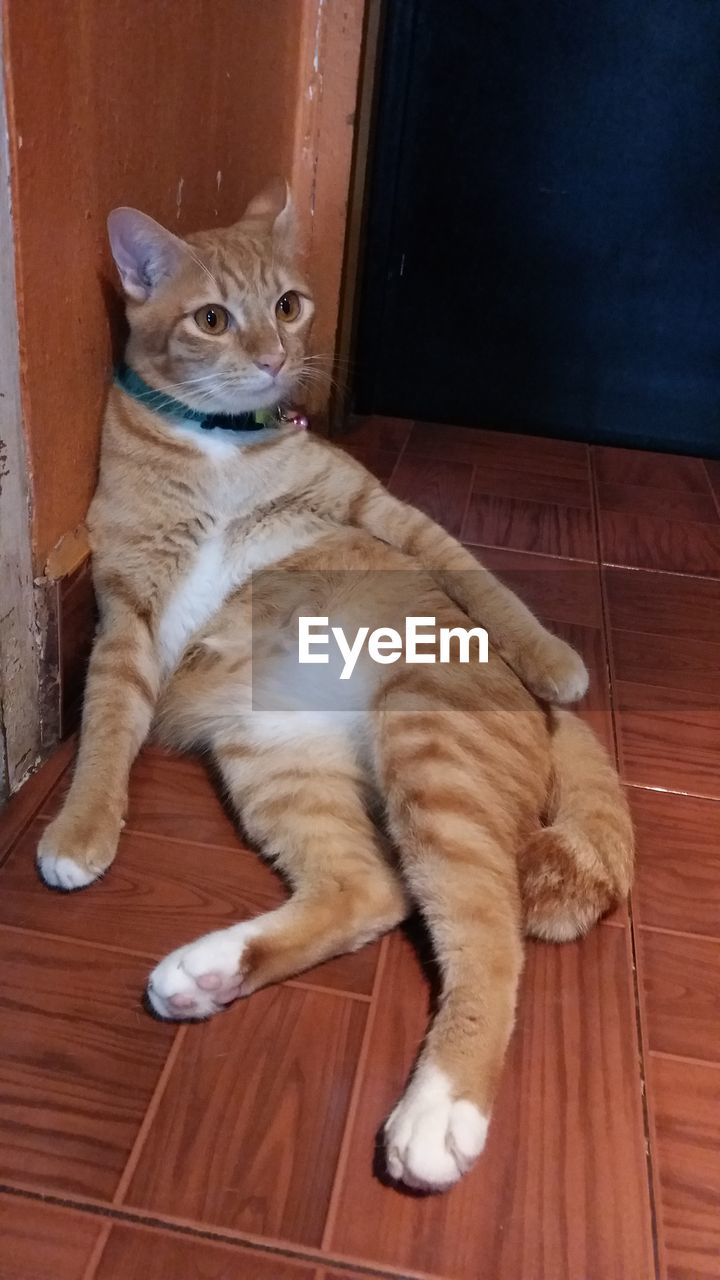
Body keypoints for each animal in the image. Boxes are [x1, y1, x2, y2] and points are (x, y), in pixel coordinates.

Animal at [36, 180, 630, 1187]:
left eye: (288, 305)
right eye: (212, 319)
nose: (277, 359)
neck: (221, 444)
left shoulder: (379, 506)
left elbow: (473, 568)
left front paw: (548, 652)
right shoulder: (130, 611)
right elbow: (107, 729)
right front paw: (82, 829)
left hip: (427, 742)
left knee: (486, 934)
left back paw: (441, 1107)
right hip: (278, 758)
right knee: (370, 889)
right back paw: (210, 971)